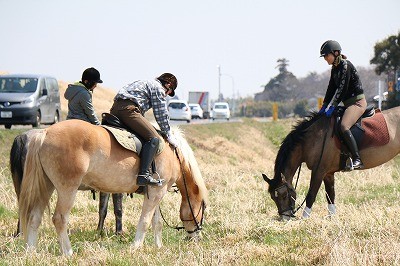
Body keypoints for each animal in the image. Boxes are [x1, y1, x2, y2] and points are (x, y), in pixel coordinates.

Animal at [17, 119, 208, 256]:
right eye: (202, 210)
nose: (197, 237)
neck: (172, 154)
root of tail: (44, 133)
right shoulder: (156, 193)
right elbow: (145, 222)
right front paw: (135, 247)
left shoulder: (155, 194)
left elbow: (157, 222)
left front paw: (158, 247)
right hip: (67, 189)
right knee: (59, 219)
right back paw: (68, 253)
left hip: (45, 187)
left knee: (34, 217)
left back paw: (31, 252)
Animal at [262, 106, 400, 220]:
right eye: (273, 197)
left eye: (284, 195)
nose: (285, 218)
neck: (311, 140)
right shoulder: (328, 173)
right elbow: (330, 195)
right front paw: (332, 218)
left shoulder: (318, 171)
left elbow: (311, 195)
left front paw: (305, 219)